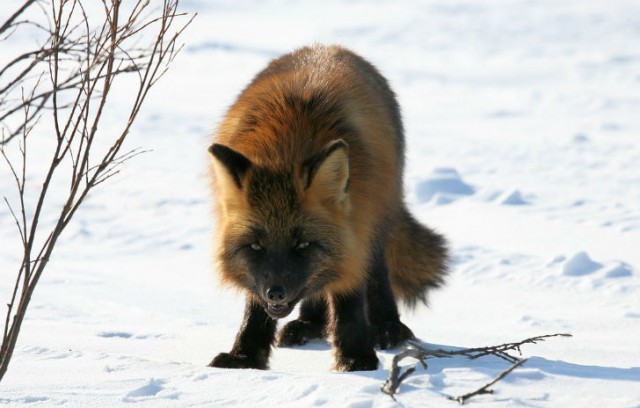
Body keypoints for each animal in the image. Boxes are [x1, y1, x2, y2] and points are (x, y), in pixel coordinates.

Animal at [208, 45, 448, 372]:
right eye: (256, 246)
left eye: (303, 245)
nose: (276, 292)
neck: (288, 146)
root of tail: (331, 47)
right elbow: (255, 306)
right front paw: (245, 358)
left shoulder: (358, 226)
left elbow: (349, 297)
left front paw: (356, 360)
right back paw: (310, 324)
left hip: (376, 222)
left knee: (373, 277)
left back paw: (387, 328)